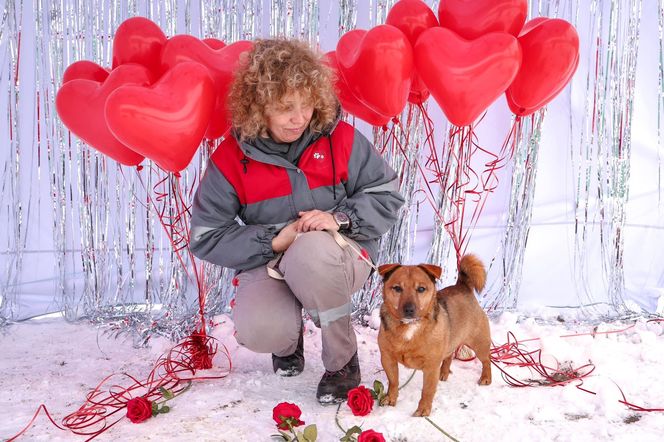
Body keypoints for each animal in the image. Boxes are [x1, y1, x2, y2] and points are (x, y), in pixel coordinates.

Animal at [376, 254, 490, 416]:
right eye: (397, 288)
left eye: (421, 289)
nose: (409, 309)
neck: (409, 327)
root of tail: (463, 286)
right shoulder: (387, 358)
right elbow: (393, 382)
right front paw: (391, 399)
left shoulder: (431, 366)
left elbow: (427, 391)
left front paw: (423, 410)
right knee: (449, 356)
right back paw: (444, 373)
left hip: (479, 344)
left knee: (487, 360)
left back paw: (486, 378)